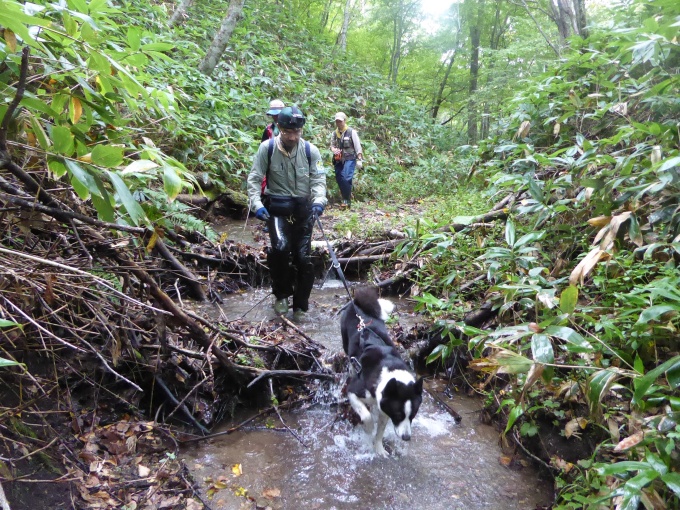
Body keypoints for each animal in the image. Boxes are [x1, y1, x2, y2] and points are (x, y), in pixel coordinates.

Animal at [342, 286, 422, 458]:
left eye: (412, 415)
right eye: (398, 415)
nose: (406, 438)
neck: (387, 371)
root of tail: (356, 303)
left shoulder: (384, 406)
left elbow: (380, 431)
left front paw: (379, 449)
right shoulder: (353, 391)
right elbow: (366, 416)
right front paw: (368, 428)